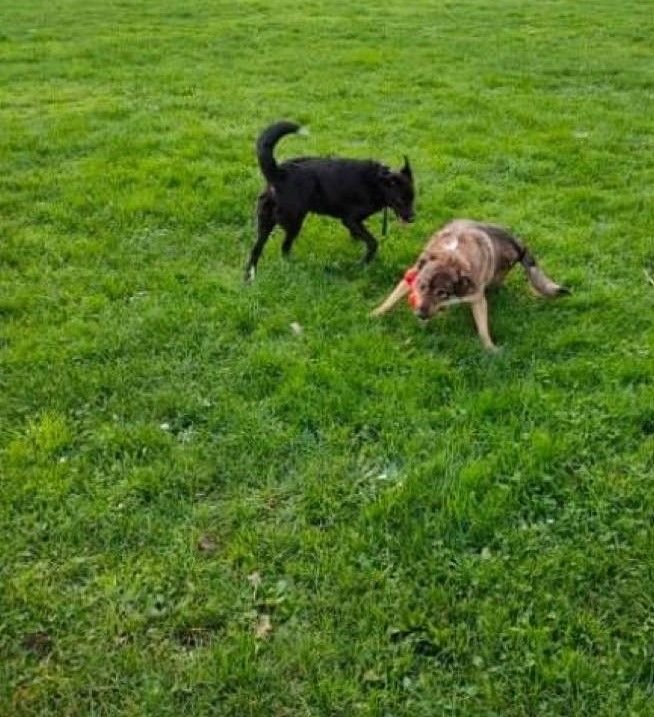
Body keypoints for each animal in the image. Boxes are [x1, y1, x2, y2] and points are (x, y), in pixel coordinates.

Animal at [244, 121, 415, 281]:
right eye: (401, 200)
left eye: (413, 198)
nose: (412, 218)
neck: (378, 182)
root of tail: (279, 173)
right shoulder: (350, 219)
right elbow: (372, 242)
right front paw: (363, 263)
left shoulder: (352, 223)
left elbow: (357, 237)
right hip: (293, 222)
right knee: (284, 248)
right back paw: (292, 266)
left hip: (265, 222)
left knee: (256, 250)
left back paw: (250, 277)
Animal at [371, 219, 569, 351]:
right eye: (422, 287)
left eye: (442, 292)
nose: (420, 314)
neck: (451, 258)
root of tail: (518, 243)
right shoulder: (412, 276)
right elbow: (391, 299)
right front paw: (376, 313)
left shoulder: (477, 298)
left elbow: (483, 329)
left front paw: (490, 348)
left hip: (497, 272)